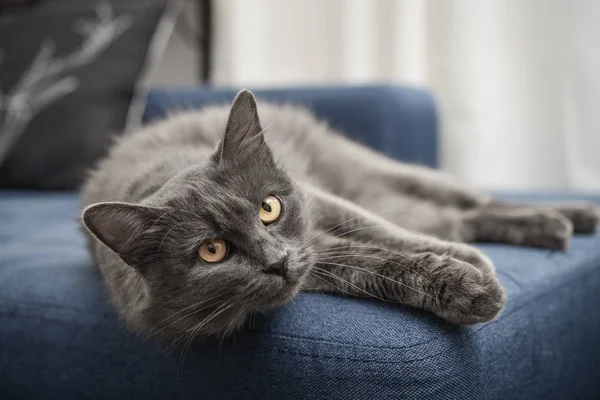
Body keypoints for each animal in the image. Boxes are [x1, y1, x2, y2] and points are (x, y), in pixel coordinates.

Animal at [81, 90, 600, 340]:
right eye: (212, 251)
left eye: (269, 207)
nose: (276, 260)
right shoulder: (317, 260)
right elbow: (372, 265)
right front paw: (469, 284)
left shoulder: (320, 201)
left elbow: (380, 230)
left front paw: (469, 262)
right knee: (459, 216)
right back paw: (554, 227)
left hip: (383, 170)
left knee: (475, 200)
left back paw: (570, 216)